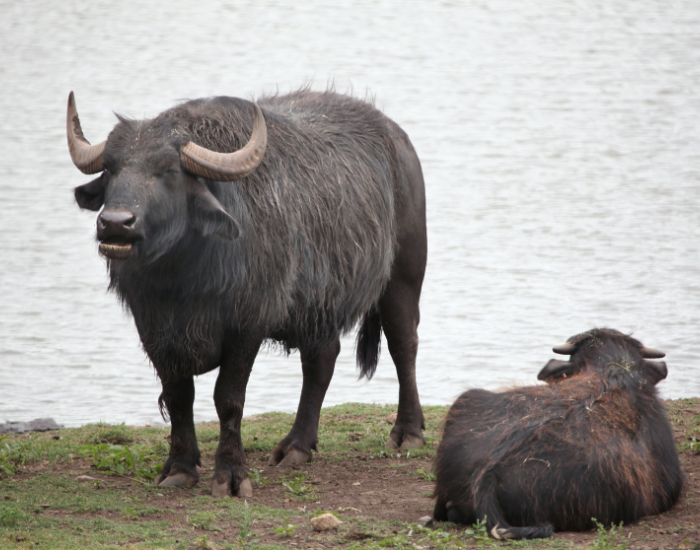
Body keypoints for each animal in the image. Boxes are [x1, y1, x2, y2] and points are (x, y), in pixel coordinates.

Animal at [67, 89, 427, 497]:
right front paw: (179, 468)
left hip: (404, 277)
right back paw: (298, 445)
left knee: (403, 345)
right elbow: (178, 397)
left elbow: (228, 398)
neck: (182, 280)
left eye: (169, 170)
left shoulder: (247, 324)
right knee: (321, 361)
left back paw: (408, 432)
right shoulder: (152, 326)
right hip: (317, 306)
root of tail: (399, 142)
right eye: (111, 169)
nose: (115, 224)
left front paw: (231, 475)